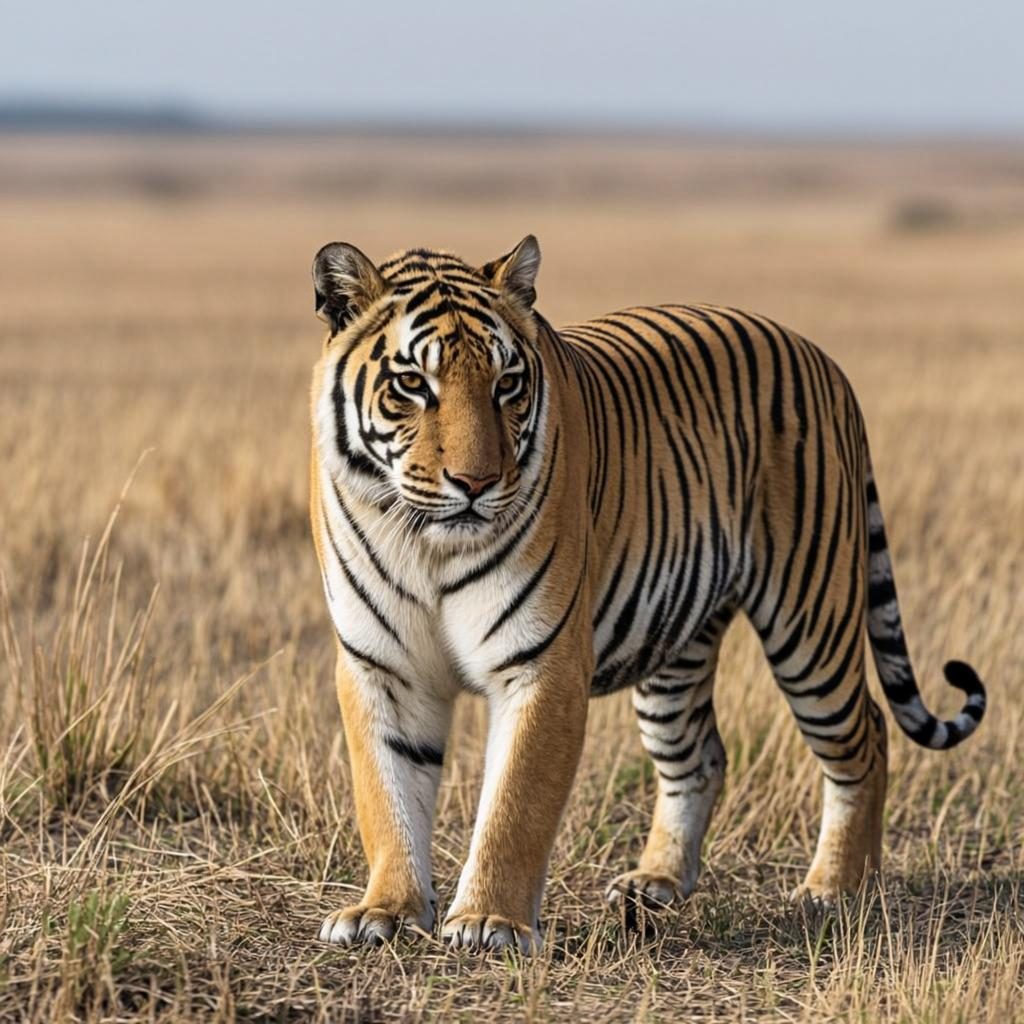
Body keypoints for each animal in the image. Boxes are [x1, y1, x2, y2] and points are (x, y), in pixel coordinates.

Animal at [308, 234, 986, 954]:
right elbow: (387, 796)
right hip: (675, 647)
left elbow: (514, 803)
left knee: (867, 737)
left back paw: (837, 888)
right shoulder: (380, 665)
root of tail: (821, 356)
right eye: (412, 384)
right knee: (701, 757)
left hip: (811, 623)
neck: (427, 547)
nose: (476, 483)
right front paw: (385, 910)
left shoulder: (542, 664)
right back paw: (655, 882)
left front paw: (490, 921)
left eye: (507, 384)